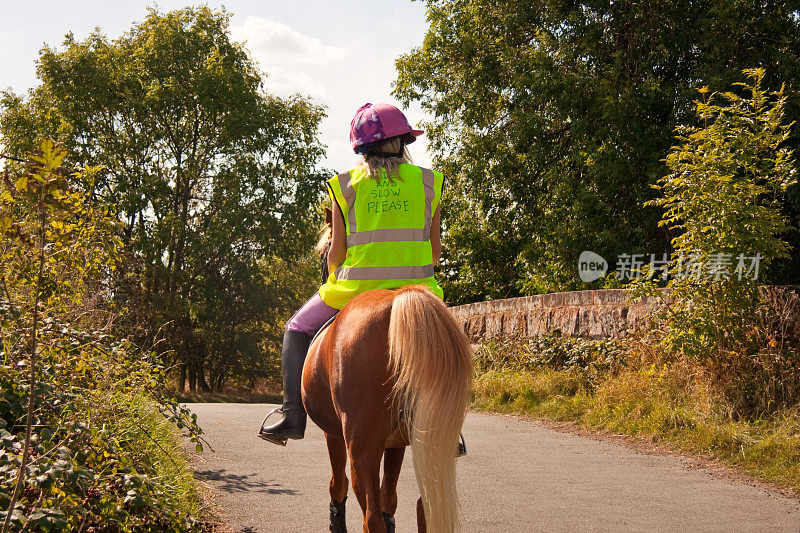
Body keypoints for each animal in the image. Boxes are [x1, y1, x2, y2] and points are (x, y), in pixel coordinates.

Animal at [304, 284, 472, 528]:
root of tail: (400, 295)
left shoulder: (333, 434)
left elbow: (338, 485)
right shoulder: (396, 442)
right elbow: (389, 498)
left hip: (361, 449)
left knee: (371, 518)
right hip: (431, 444)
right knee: (426, 507)